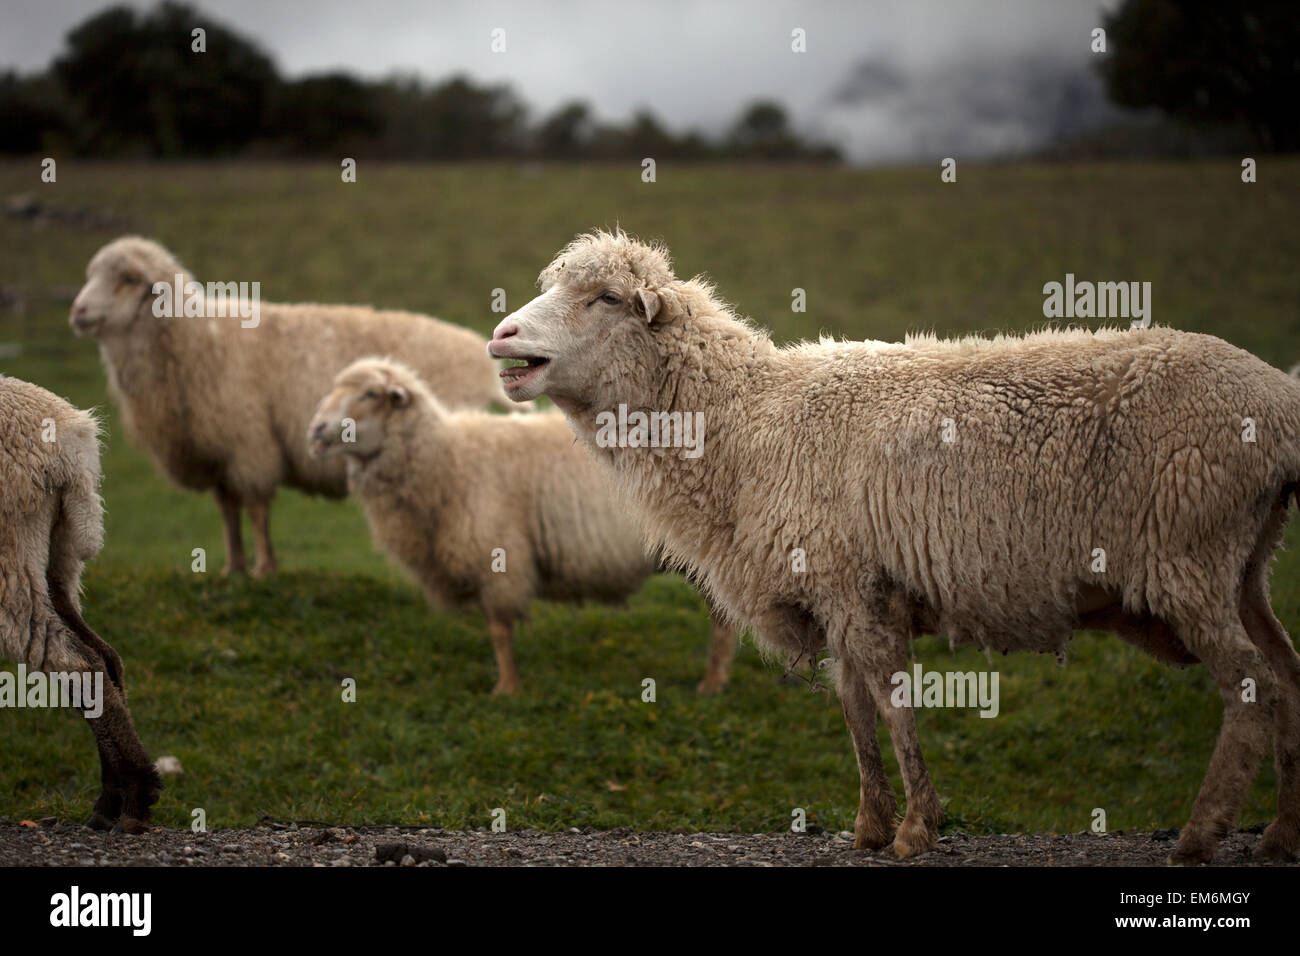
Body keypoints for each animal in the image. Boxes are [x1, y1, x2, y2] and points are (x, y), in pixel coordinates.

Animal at [0, 371, 162, 832]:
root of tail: (71, 441)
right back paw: (113, 799)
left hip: (12, 554)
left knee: (75, 662)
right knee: (104, 656)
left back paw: (134, 798)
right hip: (57, 553)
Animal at [72, 238, 512, 582]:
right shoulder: (217, 452)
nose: (78, 312)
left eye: (127, 280)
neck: (191, 341)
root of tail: (487, 368)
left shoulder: (249, 445)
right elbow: (228, 512)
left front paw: (265, 569)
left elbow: (257, 510)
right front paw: (233, 569)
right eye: (92, 274)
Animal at [299, 358, 738, 697]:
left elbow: (499, 631)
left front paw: (507, 688)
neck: (445, 460)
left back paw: (713, 684)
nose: (315, 430)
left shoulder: (498, 556)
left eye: (371, 395)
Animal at [488, 230, 1300, 868]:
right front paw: (871, 826)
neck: (750, 421)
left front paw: (917, 827)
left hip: (1189, 556)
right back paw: (1278, 835)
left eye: (606, 299)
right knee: (1287, 676)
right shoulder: (837, 591)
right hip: (1244, 566)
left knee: (1252, 687)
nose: (501, 337)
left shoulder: (856, 584)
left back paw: (1200, 835)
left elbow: (893, 702)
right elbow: (855, 709)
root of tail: (1279, 403)